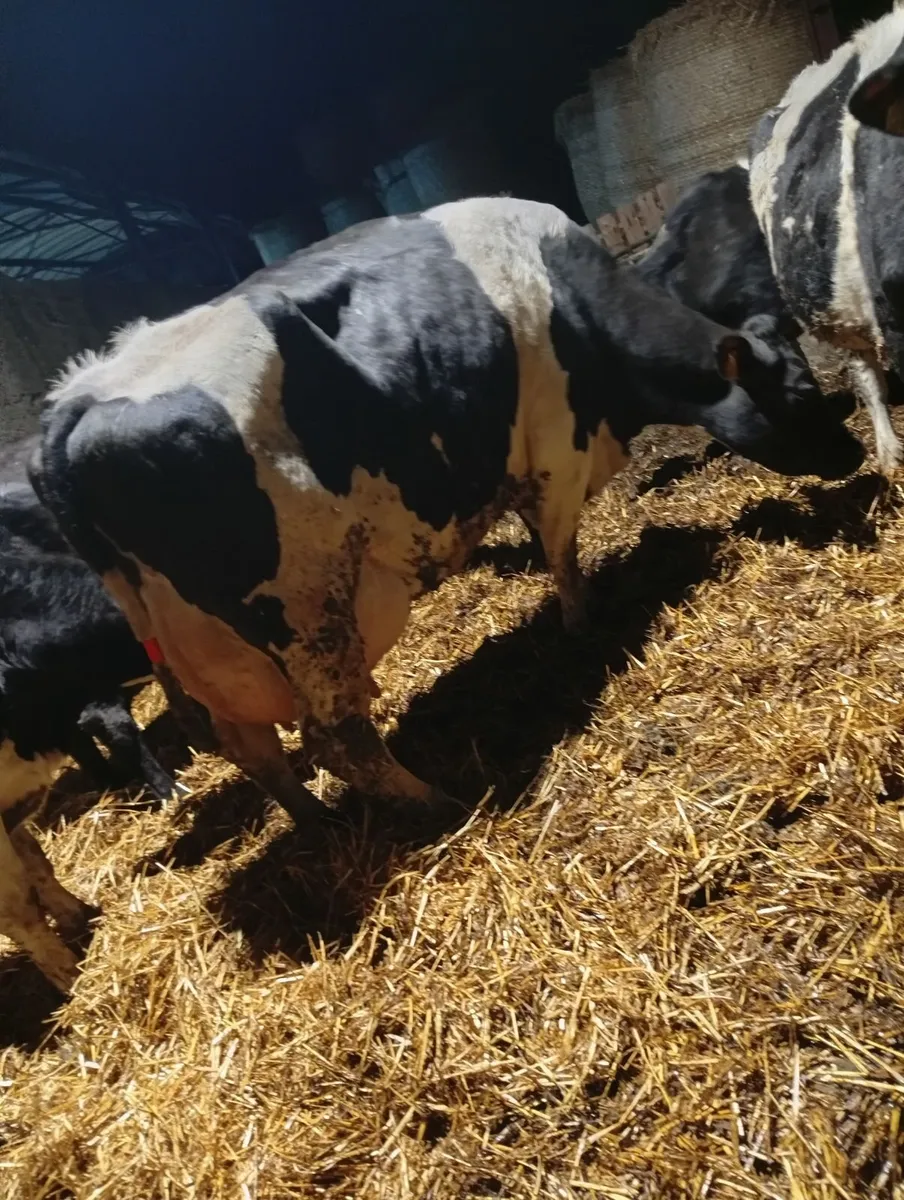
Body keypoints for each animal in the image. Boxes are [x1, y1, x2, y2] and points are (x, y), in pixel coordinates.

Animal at [28, 197, 863, 980]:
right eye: (799, 392)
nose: (854, 454)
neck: (576, 305)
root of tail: (75, 406)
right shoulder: (554, 451)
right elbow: (559, 549)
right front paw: (582, 622)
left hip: (205, 647)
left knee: (252, 747)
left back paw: (317, 821)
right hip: (304, 607)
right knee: (336, 737)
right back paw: (435, 801)